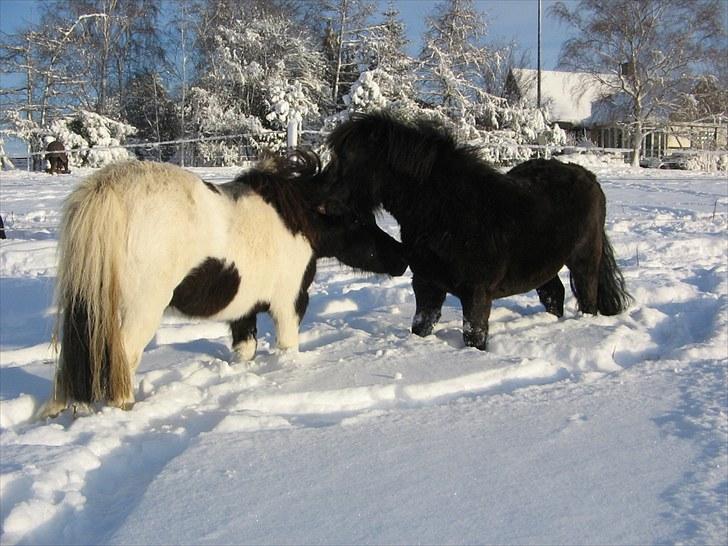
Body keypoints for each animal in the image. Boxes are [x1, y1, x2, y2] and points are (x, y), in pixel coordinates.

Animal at [42, 151, 406, 414]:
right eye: (356, 218)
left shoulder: (243, 311)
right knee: (123, 357)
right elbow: (288, 347)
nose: (402, 259)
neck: (295, 219)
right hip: (139, 311)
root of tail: (108, 190)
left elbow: (245, 350)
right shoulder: (289, 305)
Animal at [318, 111, 632, 348]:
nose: (323, 202)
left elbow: (474, 337)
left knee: (587, 299)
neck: (448, 211)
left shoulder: (476, 295)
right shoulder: (427, 286)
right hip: (542, 266)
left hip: (584, 260)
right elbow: (420, 327)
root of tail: (589, 176)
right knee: (554, 294)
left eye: (351, 158)